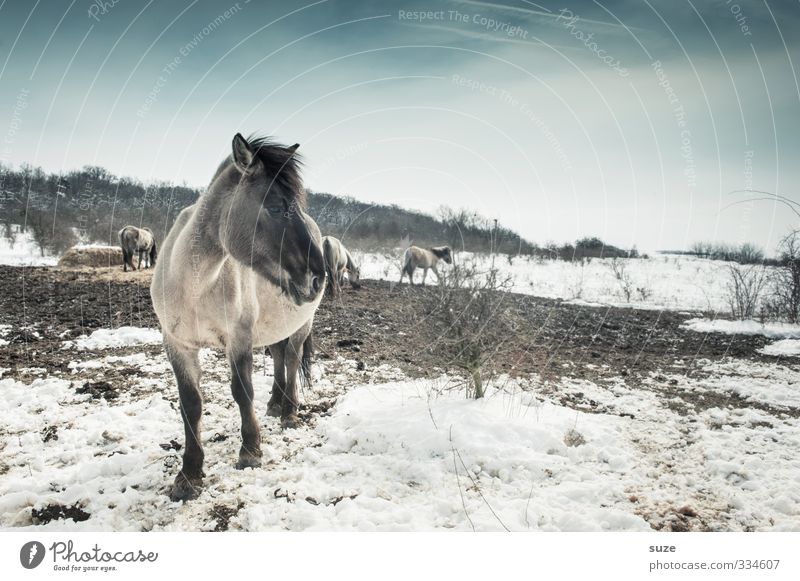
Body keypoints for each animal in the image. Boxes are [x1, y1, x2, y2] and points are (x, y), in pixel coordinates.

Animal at [150, 134, 324, 500]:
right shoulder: (177, 344)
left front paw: (250, 451)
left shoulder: (239, 340)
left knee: (291, 358)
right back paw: (275, 404)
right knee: (278, 357)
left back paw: (289, 412)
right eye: (275, 207)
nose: (318, 278)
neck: (196, 285)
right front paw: (189, 475)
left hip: (301, 325)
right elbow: (190, 403)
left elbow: (242, 391)